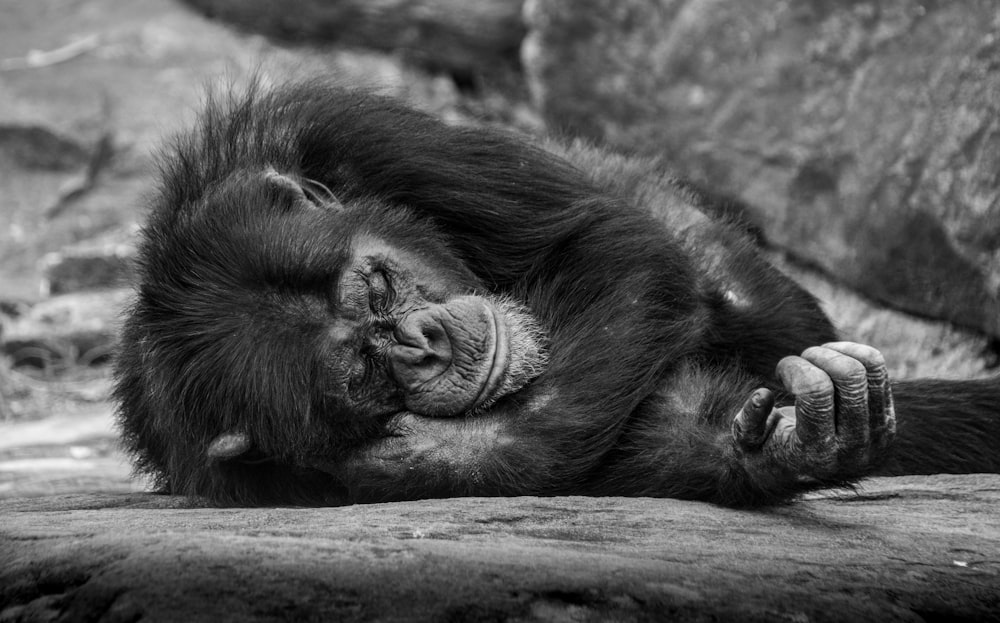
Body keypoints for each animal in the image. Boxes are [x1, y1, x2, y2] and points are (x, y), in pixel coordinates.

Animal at [113, 79, 996, 508]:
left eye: (377, 284)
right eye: (363, 371)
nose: (423, 339)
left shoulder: (347, 128)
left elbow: (603, 241)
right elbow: (645, 437)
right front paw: (784, 441)